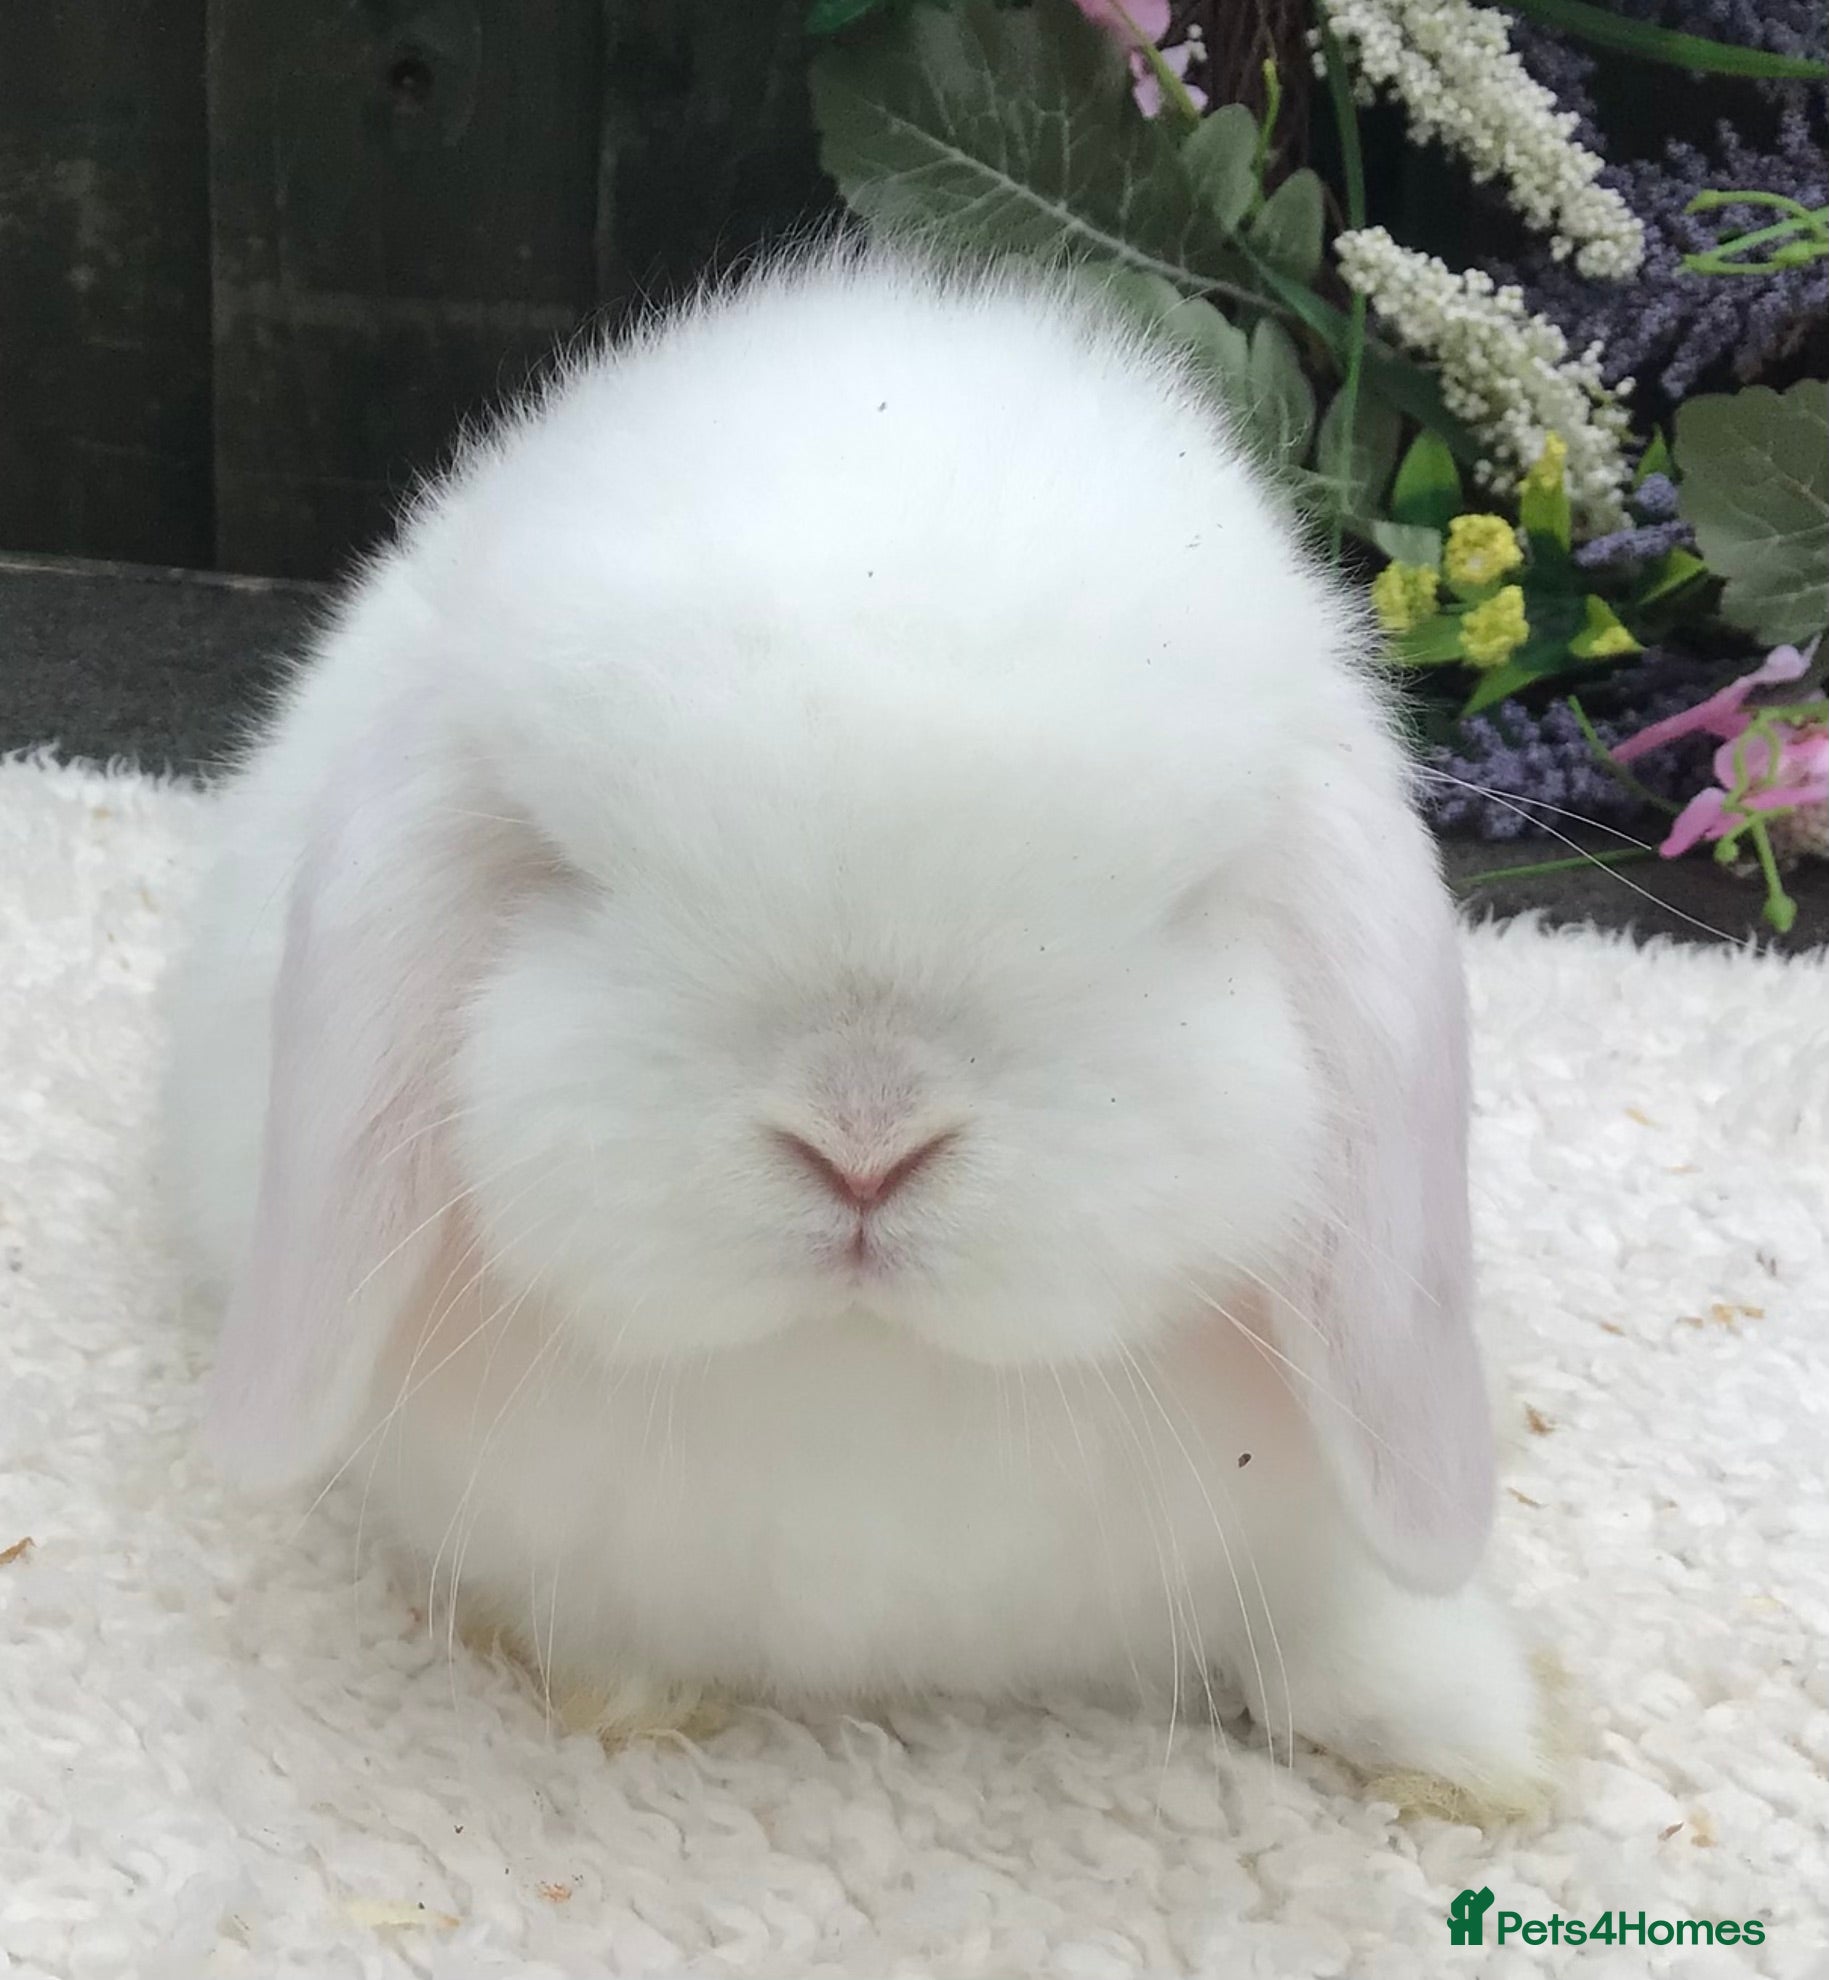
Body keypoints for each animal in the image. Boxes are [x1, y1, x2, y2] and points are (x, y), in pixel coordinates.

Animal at [163, 246, 1549, 1805]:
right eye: (566, 868)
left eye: (1186, 900)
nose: (865, 1142)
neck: (865, 1381)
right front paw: (627, 1697)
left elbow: (1341, 1617)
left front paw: (1475, 1746)